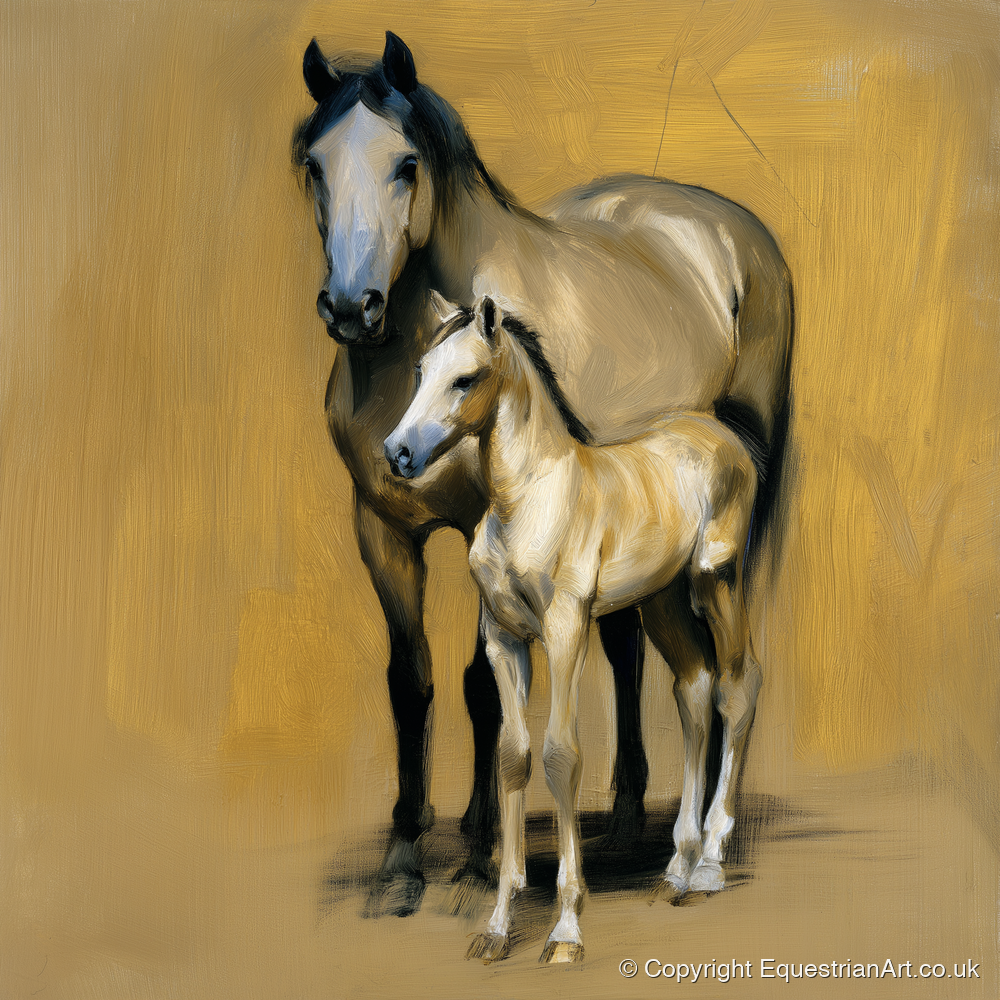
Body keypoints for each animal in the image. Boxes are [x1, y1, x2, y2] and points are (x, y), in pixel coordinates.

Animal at [385, 293, 761, 963]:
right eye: (422, 370)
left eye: (465, 379)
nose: (397, 453)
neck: (528, 501)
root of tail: (722, 435)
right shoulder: (503, 639)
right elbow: (512, 757)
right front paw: (497, 927)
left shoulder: (565, 630)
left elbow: (562, 757)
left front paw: (564, 931)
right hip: (662, 602)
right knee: (694, 689)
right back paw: (677, 868)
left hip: (717, 580)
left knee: (737, 687)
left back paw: (711, 862)